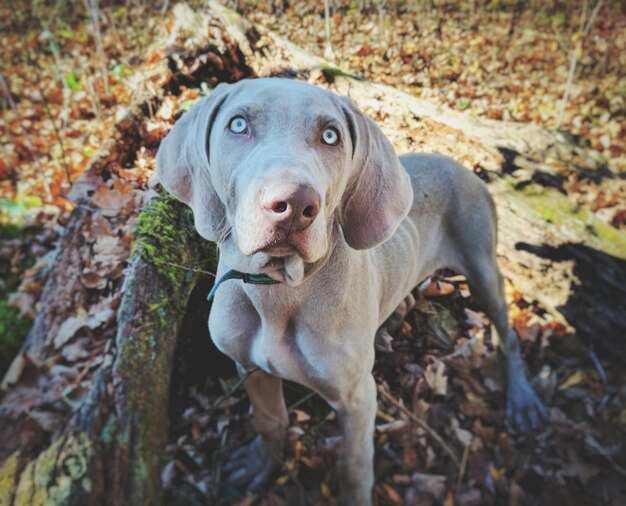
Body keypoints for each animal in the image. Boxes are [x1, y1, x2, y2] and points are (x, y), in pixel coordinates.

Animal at [157, 79, 544, 506]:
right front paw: (262, 463)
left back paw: (523, 400)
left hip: (482, 264)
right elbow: (270, 420)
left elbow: (353, 468)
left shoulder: (358, 397)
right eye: (238, 124)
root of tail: (465, 167)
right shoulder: (249, 366)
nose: (293, 204)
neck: (279, 292)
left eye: (331, 136)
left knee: (507, 330)